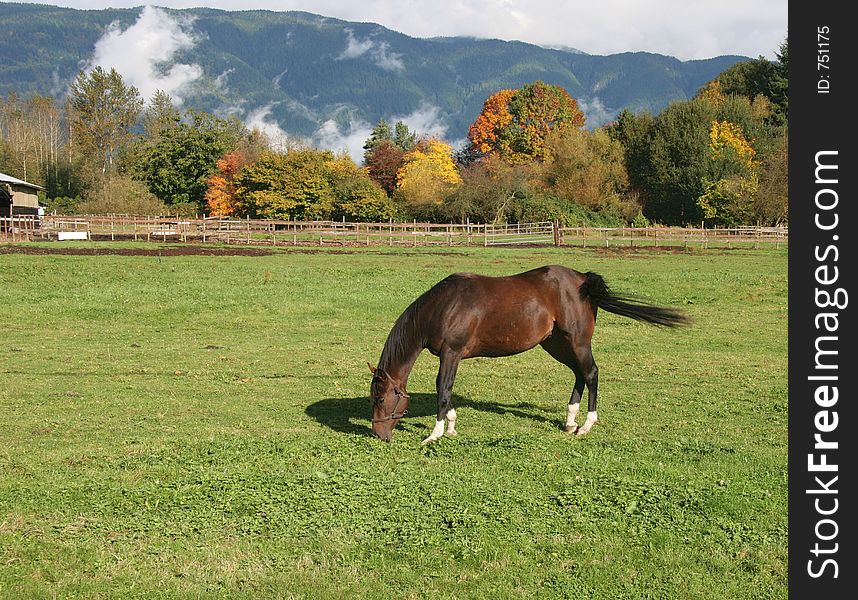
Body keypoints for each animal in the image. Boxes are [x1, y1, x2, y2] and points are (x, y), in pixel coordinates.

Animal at [368, 264, 688, 442]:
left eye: (382, 399)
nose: (378, 434)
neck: (445, 305)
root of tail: (583, 280)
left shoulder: (451, 353)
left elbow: (443, 389)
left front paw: (435, 434)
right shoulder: (451, 356)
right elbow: (447, 390)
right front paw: (451, 427)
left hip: (577, 341)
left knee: (591, 373)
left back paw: (586, 425)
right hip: (556, 343)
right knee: (579, 374)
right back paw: (570, 422)